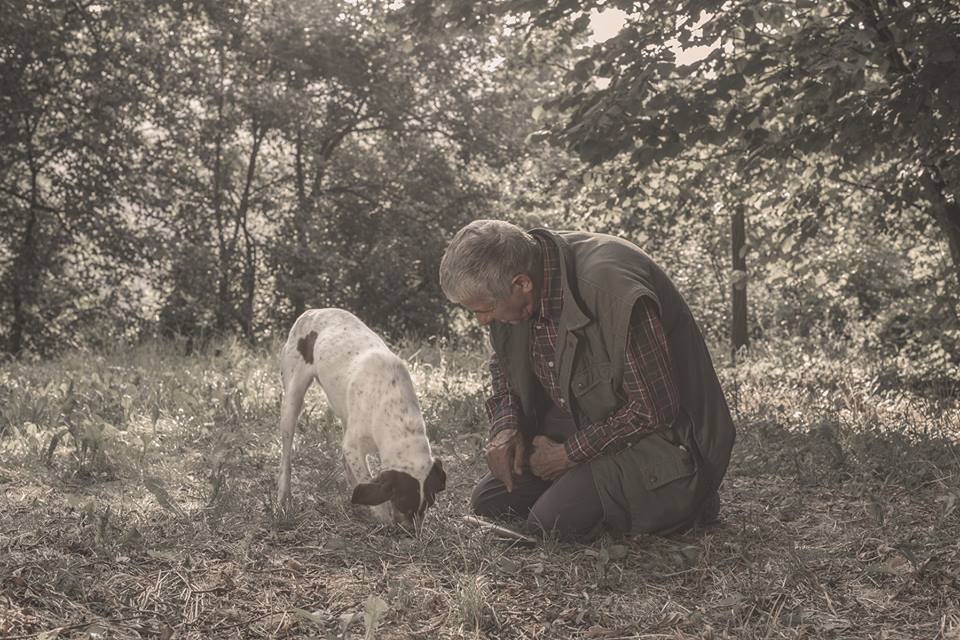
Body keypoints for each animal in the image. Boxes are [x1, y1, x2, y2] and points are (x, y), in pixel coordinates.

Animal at [274, 308, 446, 524]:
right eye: (403, 504)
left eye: (428, 505)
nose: (411, 530)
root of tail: (312, 311)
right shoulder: (353, 447)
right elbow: (367, 480)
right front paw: (382, 516)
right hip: (292, 401)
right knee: (286, 458)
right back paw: (283, 497)